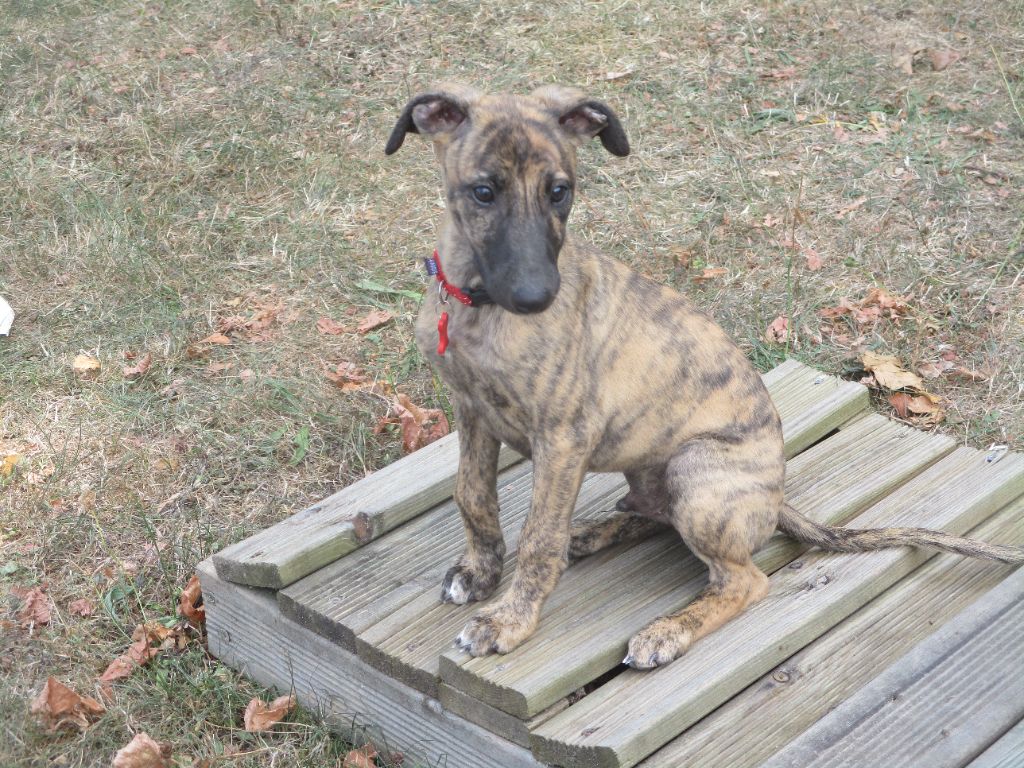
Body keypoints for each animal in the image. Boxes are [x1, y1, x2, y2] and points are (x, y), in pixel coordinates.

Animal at [384, 84, 1023, 669]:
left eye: (559, 191)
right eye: (483, 192)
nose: (538, 297)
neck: (476, 305)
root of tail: (776, 495)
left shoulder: (563, 437)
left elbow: (539, 538)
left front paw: (509, 622)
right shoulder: (470, 411)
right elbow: (473, 495)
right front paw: (480, 572)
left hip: (697, 473)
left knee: (742, 580)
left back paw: (667, 630)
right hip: (652, 466)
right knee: (649, 514)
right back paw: (591, 534)